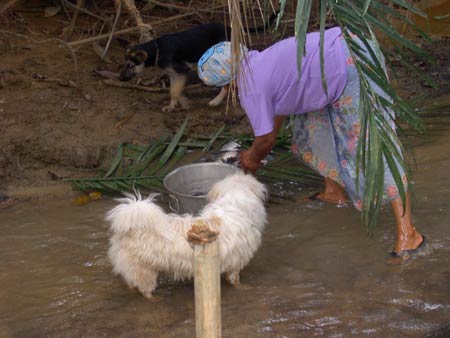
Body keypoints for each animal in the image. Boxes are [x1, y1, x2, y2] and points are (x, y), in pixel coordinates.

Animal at [105, 173, 268, 298]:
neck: (235, 204)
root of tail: (129, 228)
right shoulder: (236, 262)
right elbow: (235, 279)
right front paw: (242, 288)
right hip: (144, 270)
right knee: (145, 289)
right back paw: (154, 298)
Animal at [120, 12, 278, 111]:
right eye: (125, 64)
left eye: (130, 65)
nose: (119, 78)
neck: (156, 48)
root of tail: (229, 28)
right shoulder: (173, 74)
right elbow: (173, 90)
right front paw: (173, 105)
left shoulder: (181, 71)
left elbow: (174, 91)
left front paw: (181, 104)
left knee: (228, 84)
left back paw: (216, 101)